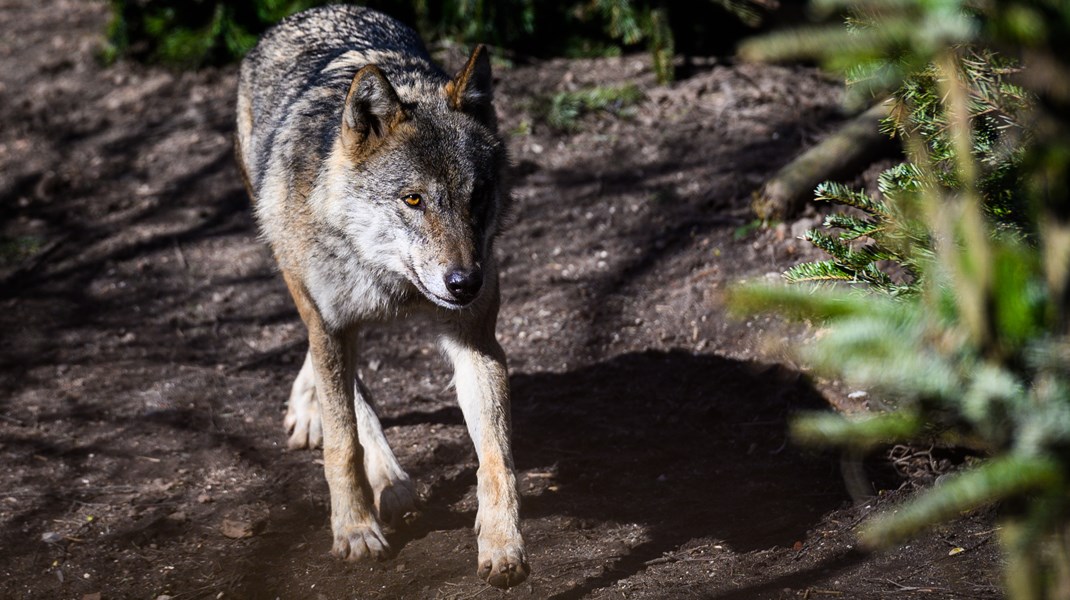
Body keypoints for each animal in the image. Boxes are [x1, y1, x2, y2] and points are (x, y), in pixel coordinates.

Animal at [238, 4, 530, 586]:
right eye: (413, 199)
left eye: (477, 196)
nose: (465, 283)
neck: (391, 282)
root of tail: (311, 12)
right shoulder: (330, 324)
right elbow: (342, 443)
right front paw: (353, 530)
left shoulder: (476, 341)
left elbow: (495, 458)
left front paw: (502, 544)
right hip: (294, 274)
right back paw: (382, 477)